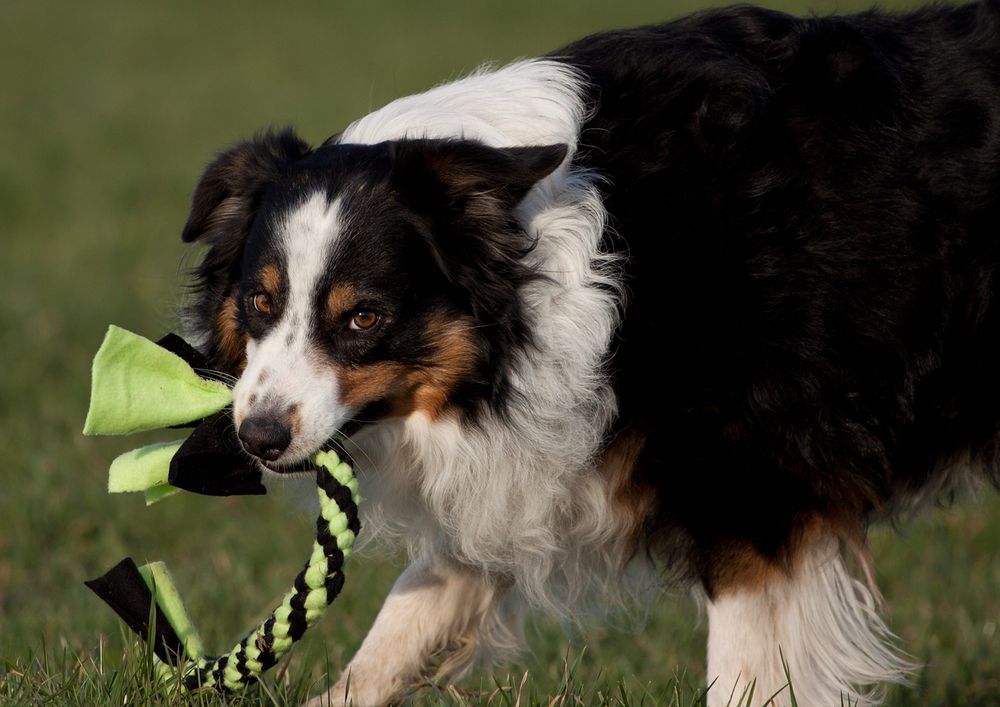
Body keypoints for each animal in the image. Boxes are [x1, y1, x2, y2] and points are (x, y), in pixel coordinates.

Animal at [178, 2, 1000, 704]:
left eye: (362, 317)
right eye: (260, 301)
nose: (258, 437)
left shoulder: (752, 486)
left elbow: (741, 667)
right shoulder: (528, 459)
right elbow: (413, 607)